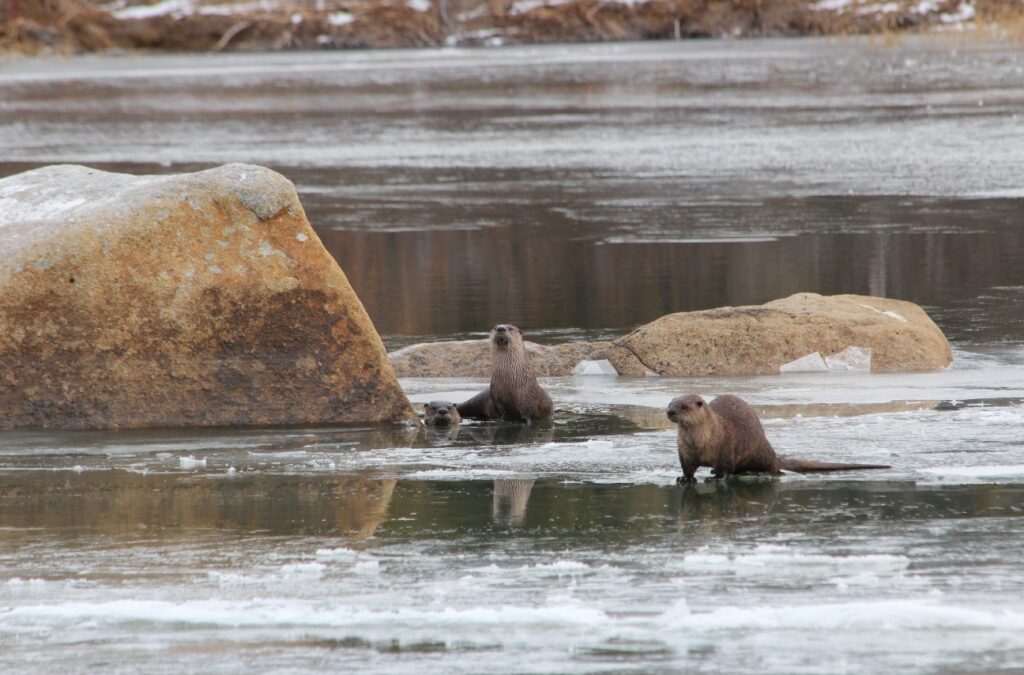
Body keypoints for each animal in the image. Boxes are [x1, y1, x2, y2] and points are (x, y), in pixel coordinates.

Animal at [663, 393, 888, 483]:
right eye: (670, 403)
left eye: (685, 406)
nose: (670, 412)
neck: (701, 443)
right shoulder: (684, 452)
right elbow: (687, 468)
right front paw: (684, 479)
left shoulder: (726, 448)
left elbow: (725, 468)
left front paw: (715, 478)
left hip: (761, 450)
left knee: (773, 468)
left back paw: (760, 472)